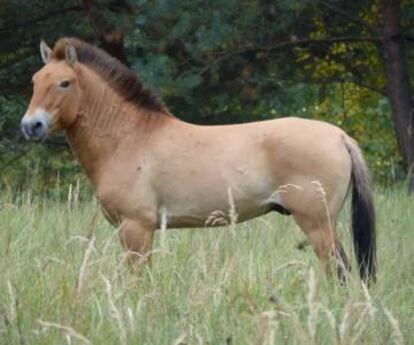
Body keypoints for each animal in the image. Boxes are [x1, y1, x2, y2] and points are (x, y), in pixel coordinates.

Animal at [21, 37, 376, 282]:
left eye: (64, 83)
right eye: (35, 81)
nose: (31, 126)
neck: (129, 138)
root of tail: (339, 136)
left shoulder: (136, 228)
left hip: (318, 225)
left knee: (340, 272)